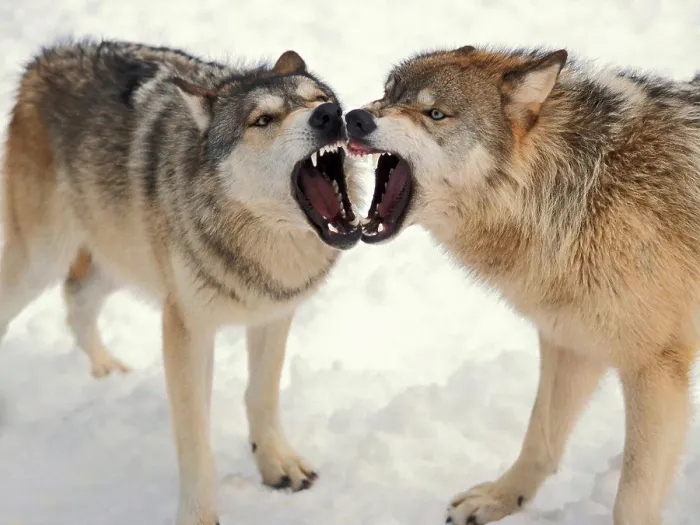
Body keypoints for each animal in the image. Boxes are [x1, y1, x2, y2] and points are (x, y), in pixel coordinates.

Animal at [1, 39, 362, 525]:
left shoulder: (273, 314)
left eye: (318, 98)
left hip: (118, 258)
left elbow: (262, 395)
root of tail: (45, 56)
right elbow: (194, 440)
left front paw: (277, 466)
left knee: (75, 299)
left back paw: (106, 369)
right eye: (263, 120)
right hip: (41, 260)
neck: (260, 246)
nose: (330, 114)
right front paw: (199, 515)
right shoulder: (187, 327)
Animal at [345, 45, 700, 525]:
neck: (585, 190)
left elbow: (631, 500)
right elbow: (540, 436)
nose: (354, 118)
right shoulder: (569, 340)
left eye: (434, 113)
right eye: (387, 94)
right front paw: (500, 498)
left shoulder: (655, 369)